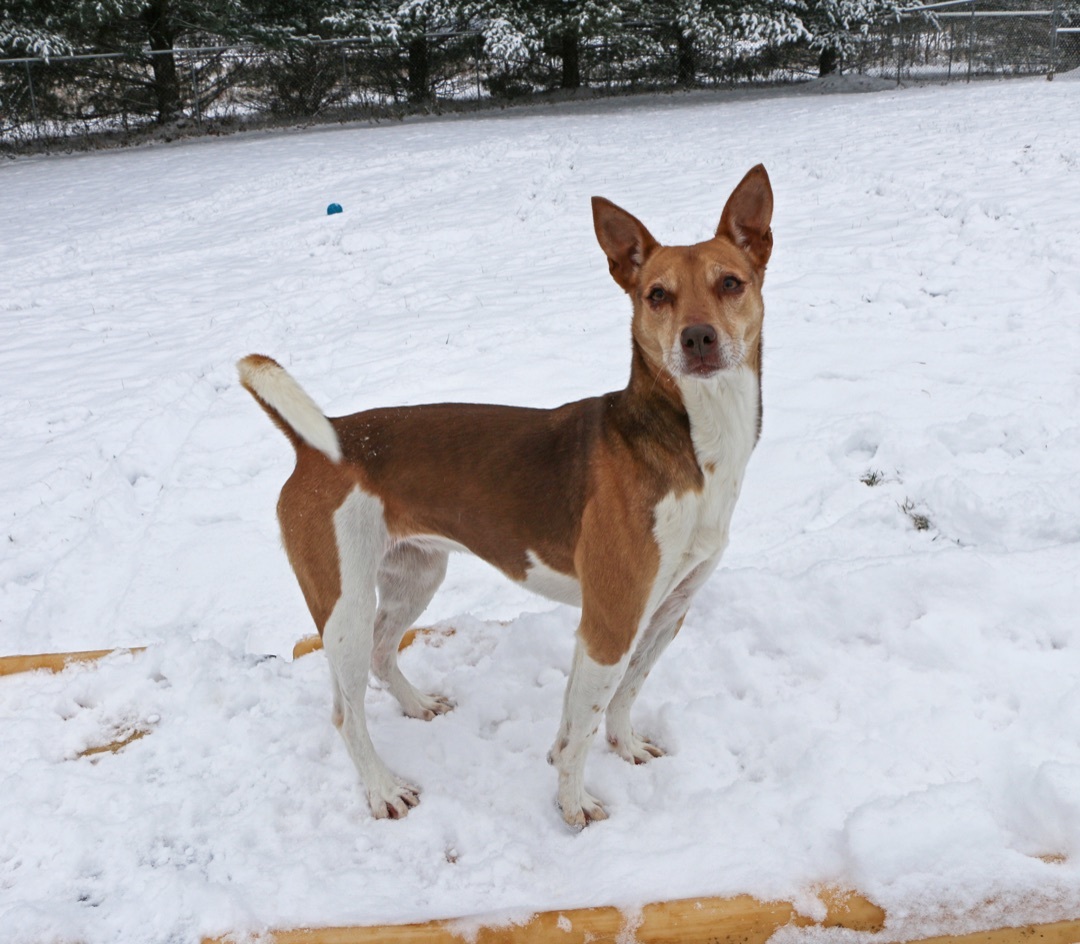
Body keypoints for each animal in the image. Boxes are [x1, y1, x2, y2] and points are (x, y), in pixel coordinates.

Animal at [240, 165, 773, 829]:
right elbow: (580, 731)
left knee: (384, 654)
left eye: (730, 283)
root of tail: (323, 439)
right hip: (344, 604)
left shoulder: (667, 611)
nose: (697, 338)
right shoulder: (610, 622)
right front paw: (573, 806)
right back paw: (383, 788)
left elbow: (620, 697)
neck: (693, 442)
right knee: (345, 711)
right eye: (657, 295)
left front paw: (625, 745)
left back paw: (416, 705)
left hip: (415, 574)